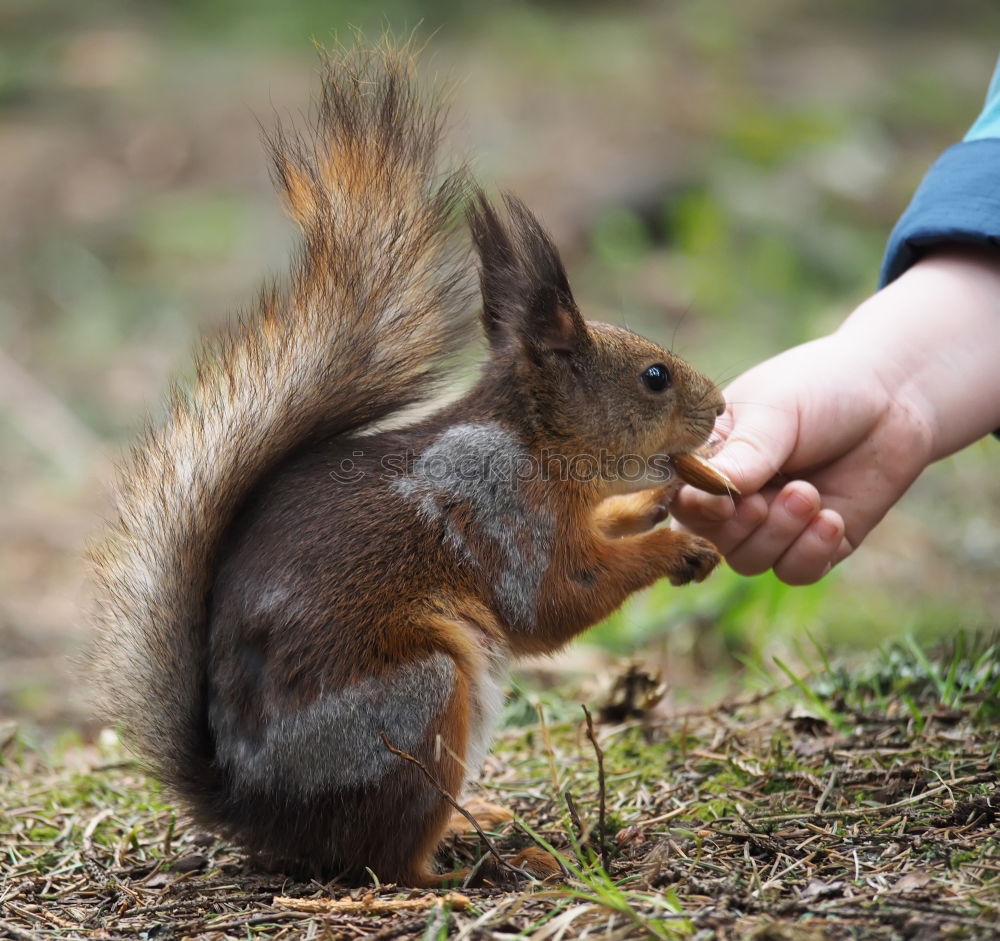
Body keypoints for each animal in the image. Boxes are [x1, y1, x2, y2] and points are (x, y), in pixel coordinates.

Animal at [90, 44, 724, 888]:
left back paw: (481, 822)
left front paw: (657, 501)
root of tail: (256, 811)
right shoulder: (498, 507)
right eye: (656, 377)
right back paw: (481, 866)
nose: (721, 406)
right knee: (386, 860)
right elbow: (555, 601)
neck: (534, 444)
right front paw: (675, 545)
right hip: (418, 697)